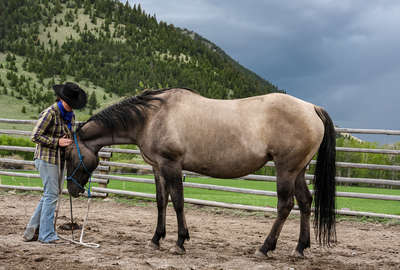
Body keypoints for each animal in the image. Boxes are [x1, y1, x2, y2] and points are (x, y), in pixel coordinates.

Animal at [65, 88, 334, 258]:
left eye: (68, 154)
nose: (72, 190)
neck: (152, 117)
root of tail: (312, 108)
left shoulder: (171, 165)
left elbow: (178, 202)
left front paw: (179, 242)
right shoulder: (157, 168)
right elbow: (161, 202)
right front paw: (156, 239)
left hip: (285, 169)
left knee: (285, 205)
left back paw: (265, 248)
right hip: (298, 170)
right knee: (305, 202)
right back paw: (300, 248)